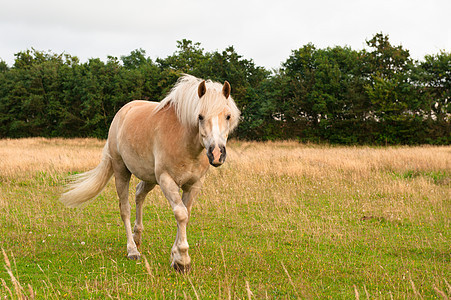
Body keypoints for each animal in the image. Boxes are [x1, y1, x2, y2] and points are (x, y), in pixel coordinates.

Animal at [62, 75, 244, 272]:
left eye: (228, 116)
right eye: (200, 116)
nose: (217, 153)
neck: (185, 142)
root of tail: (123, 111)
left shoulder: (194, 184)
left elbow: (185, 215)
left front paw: (175, 256)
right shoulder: (166, 180)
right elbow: (181, 214)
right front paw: (183, 260)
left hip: (149, 177)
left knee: (139, 194)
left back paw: (137, 237)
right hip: (121, 170)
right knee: (125, 208)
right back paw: (132, 250)